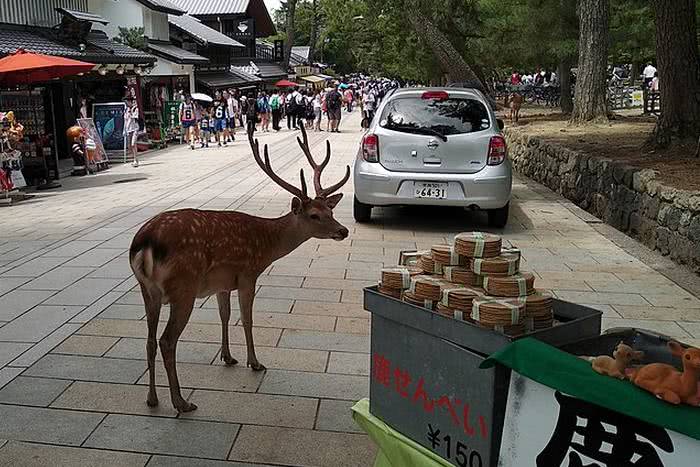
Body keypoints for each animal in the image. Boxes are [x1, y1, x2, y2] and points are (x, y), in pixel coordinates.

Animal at [128, 125, 350, 414]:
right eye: (314, 215)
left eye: (330, 210)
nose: (343, 230)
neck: (267, 245)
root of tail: (144, 242)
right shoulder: (248, 274)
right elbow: (246, 318)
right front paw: (255, 362)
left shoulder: (221, 283)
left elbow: (225, 315)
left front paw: (228, 357)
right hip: (183, 288)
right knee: (167, 341)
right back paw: (181, 402)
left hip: (147, 291)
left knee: (150, 340)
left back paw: (152, 399)